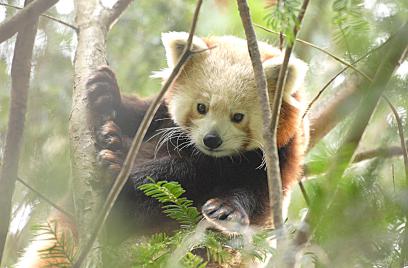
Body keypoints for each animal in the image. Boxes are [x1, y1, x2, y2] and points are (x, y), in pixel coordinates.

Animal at [16, 31, 310, 266]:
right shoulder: (162, 116)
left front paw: (226, 209)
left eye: (238, 116)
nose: (211, 140)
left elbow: (250, 195)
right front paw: (108, 94)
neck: (214, 160)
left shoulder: (275, 162)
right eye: (201, 107)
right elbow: (140, 116)